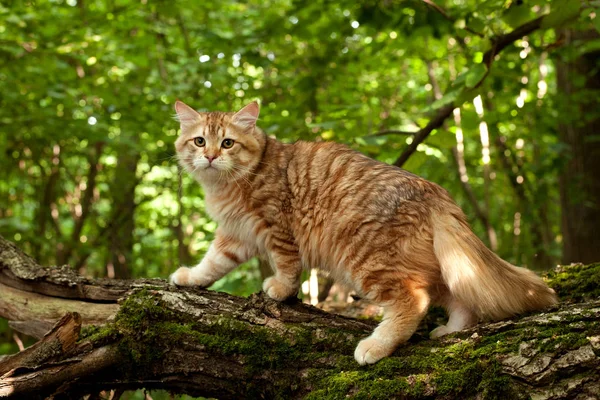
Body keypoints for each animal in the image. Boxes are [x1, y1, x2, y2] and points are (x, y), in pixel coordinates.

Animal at [169, 100, 556, 366]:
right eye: (200, 141)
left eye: (228, 143)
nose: (211, 157)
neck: (227, 185)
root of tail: (435, 192)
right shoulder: (235, 236)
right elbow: (213, 263)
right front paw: (190, 277)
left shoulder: (276, 226)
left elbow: (287, 266)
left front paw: (280, 289)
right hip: (436, 265)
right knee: (458, 299)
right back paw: (450, 330)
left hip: (366, 260)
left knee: (414, 301)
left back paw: (375, 346)